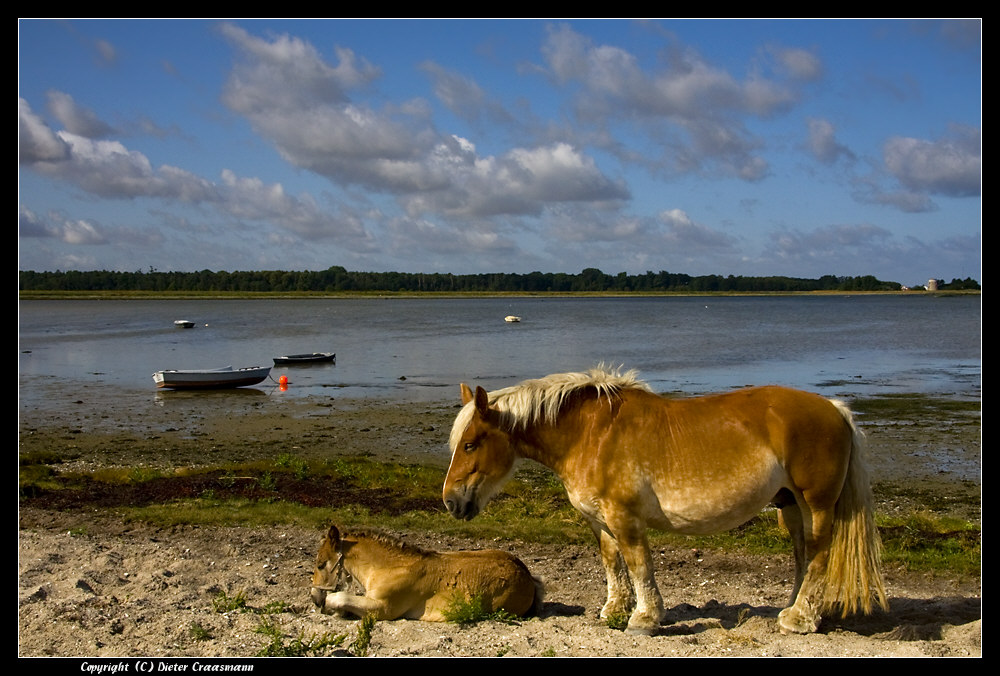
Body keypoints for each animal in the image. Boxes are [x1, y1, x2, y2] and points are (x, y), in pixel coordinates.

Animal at [314, 524, 544, 620]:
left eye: (320, 564)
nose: (314, 598)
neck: (389, 568)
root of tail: (528, 576)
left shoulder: (384, 609)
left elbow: (338, 597)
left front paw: (334, 610)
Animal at [442, 368, 888, 636]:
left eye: (470, 444)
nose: (450, 502)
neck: (589, 435)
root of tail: (834, 408)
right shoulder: (599, 521)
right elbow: (612, 563)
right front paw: (614, 611)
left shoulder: (625, 518)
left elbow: (640, 564)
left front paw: (644, 618)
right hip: (792, 506)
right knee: (801, 556)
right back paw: (794, 608)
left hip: (817, 504)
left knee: (819, 555)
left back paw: (799, 618)